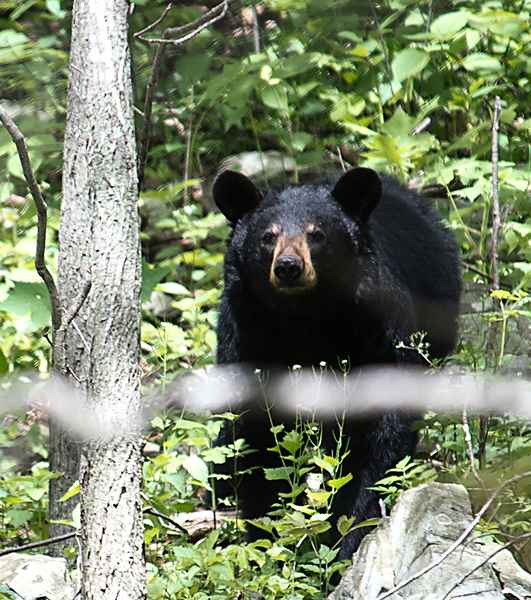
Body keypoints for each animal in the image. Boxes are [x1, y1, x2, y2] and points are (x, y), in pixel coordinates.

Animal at [212, 168, 462, 556]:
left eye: (317, 234)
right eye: (268, 236)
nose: (288, 267)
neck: (306, 318)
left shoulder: (377, 330)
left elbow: (380, 437)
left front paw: (348, 537)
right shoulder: (247, 336)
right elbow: (257, 437)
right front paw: (268, 538)